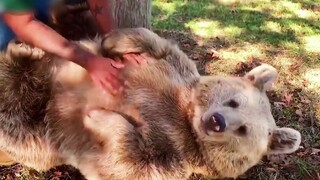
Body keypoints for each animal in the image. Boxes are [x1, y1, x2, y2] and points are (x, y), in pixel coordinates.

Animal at [0, 27, 300, 179]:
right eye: (234, 101)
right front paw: (111, 42)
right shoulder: (174, 69)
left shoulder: (174, 154)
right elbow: (150, 41)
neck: (187, 115)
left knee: (15, 110)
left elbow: (128, 163)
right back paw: (24, 50)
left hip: (39, 133)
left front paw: (96, 116)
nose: (217, 121)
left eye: (243, 131)